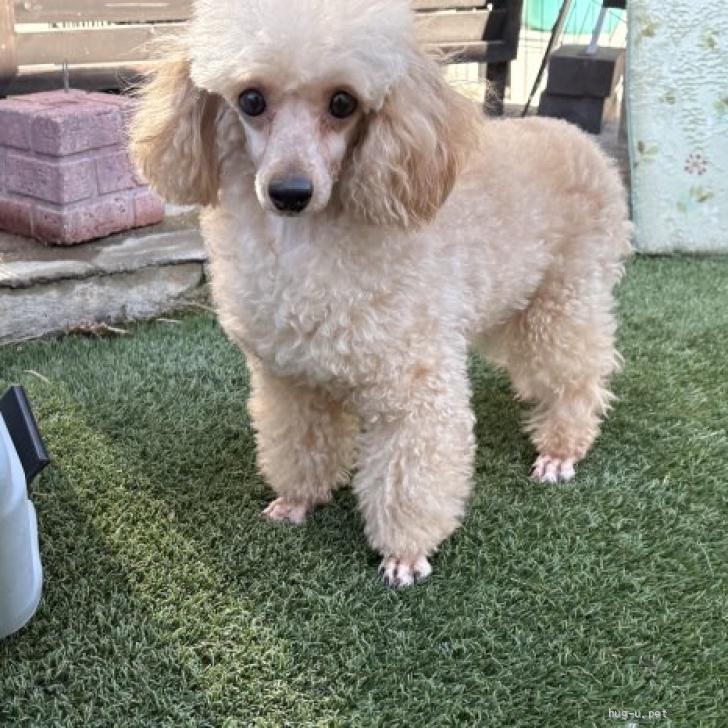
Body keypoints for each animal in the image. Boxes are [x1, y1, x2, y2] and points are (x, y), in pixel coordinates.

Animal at [130, 0, 632, 587]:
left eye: (342, 103)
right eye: (251, 100)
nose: (289, 192)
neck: (308, 246)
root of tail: (581, 138)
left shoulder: (417, 384)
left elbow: (409, 476)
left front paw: (405, 554)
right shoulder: (292, 379)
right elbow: (300, 443)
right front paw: (297, 502)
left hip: (567, 295)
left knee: (578, 372)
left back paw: (560, 450)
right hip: (519, 300)